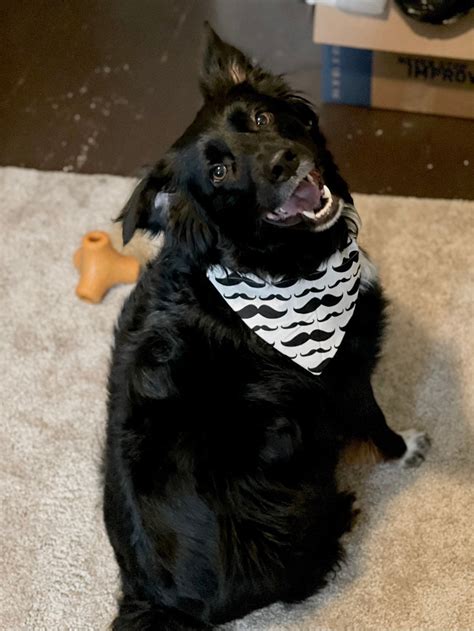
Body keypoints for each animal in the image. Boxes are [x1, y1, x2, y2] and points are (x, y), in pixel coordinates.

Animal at [103, 27, 430, 628]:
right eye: (218, 172)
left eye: (259, 117)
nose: (282, 161)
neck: (280, 264)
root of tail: (158, 598)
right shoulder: (344, 378)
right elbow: (377, 425)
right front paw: (407, 448)